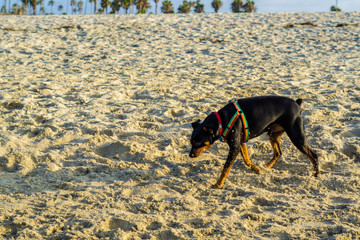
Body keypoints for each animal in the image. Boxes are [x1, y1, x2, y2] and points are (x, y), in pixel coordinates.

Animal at [190, 95, 320, 188]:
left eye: (198, 143)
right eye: (191, 142)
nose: (190, 155)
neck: (222, 120)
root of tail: (297, 103)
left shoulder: (234, 147)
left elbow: (225, 169)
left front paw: (218, 184)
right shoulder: (241, 143)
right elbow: (246, 159)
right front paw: (256, 168)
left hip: (297, 136)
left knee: (313, 155)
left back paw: (316, 174)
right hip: (273, 134)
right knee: (278, 153)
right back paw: (266, 166)